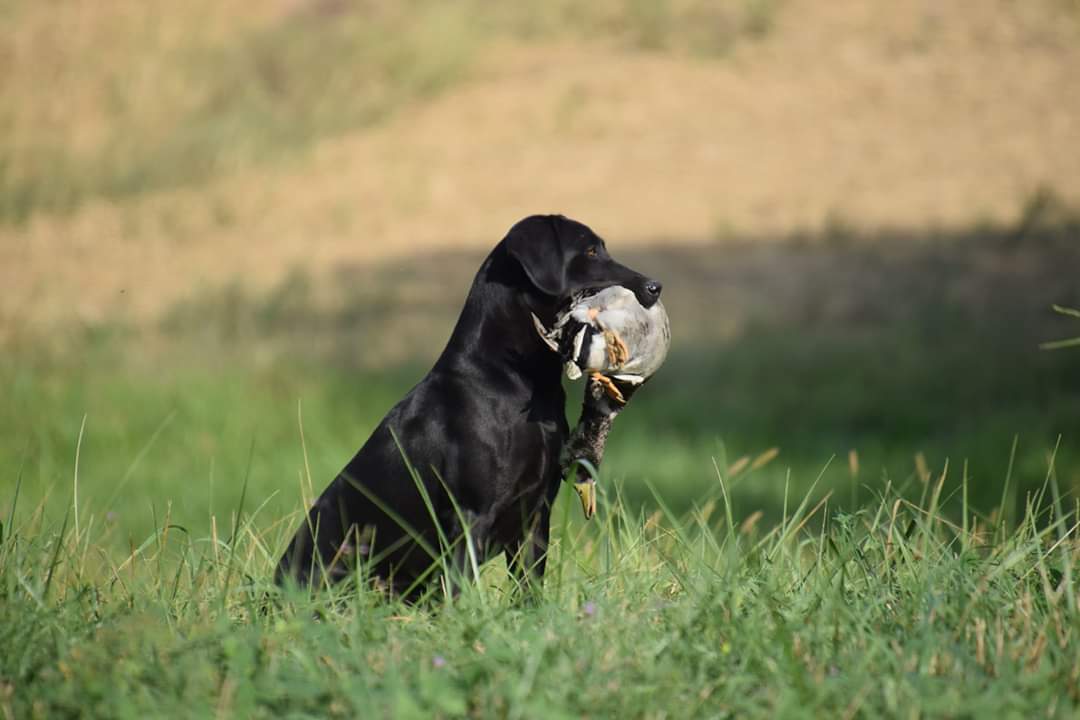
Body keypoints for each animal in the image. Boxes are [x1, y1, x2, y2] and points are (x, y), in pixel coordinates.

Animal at [274, 213, 656, 595]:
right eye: (590, 251)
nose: (655, 287)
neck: (516, 380)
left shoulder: (535, 516)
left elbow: (529, 589)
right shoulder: (469, 516)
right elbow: (460, 590)